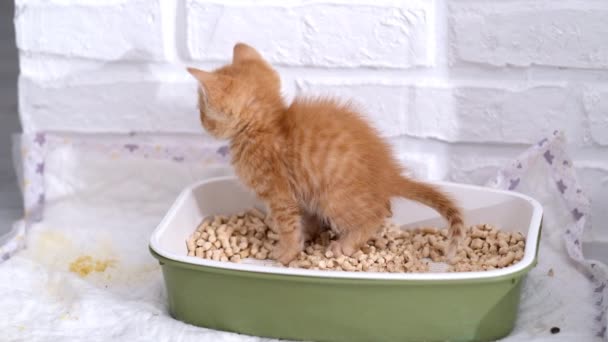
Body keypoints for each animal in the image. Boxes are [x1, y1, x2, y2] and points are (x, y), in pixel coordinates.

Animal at [188, 42, 464, 266]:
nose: (200, 120)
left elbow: (288, 225)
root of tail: (388, 174)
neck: (266, 126)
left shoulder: (279, 193)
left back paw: (346, 244)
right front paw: (309, 234)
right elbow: (305, 219)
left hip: (333, 199)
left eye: (201, 108)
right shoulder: (299, 193)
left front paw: (286, 253)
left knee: (375, 216)